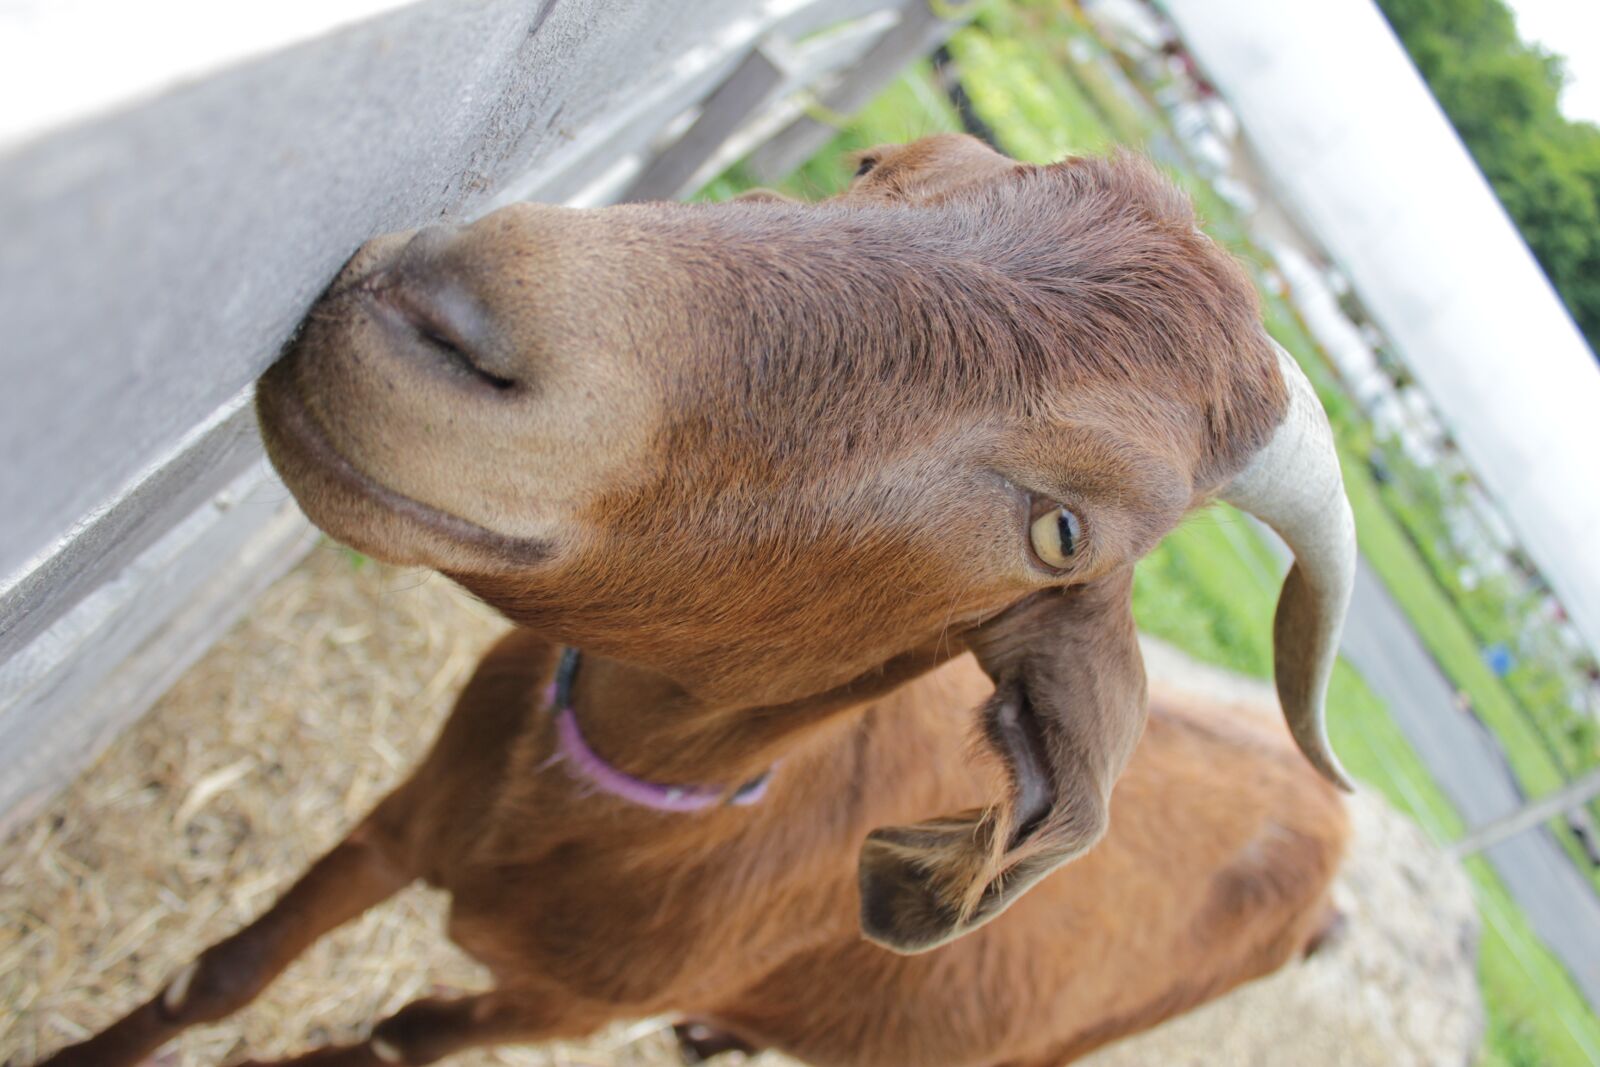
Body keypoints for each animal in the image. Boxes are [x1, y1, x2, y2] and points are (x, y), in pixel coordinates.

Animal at [40, 134, 1357, 1067]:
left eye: (1062, 529)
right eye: (876, 165)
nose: (438, 315)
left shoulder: (554, 1004)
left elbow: (387, 1035)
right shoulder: (404, 816)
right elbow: (220, 971)